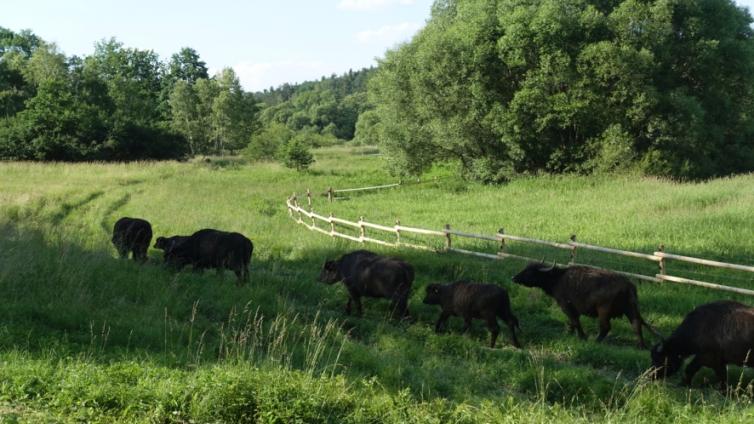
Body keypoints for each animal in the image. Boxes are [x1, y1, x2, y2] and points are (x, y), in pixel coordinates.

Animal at [508, 262, 656, 348]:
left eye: (530, 271)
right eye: (525, 268)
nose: (513, 278)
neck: (558, 279)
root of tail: (628, 285)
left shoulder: (567, 307)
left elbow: (575, 321)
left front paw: (582, 336)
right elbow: (572, 322)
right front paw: (569, 333)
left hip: (603, 311)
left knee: (605, 327)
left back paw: (595, 341)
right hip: (631, 310)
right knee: (636, 325)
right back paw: (641, 346)